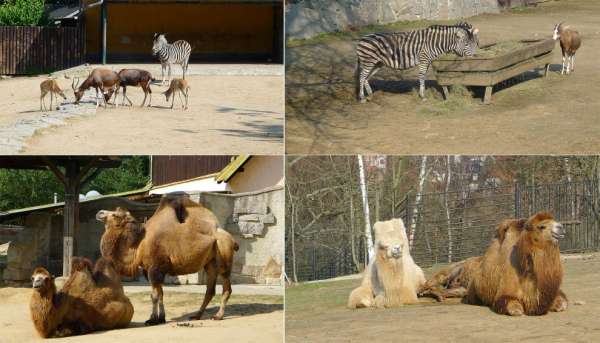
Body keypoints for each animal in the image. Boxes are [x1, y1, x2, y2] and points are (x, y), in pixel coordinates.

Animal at [96, 198, 239, 326]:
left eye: (115, 214)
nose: (99, 212)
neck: (138, 246)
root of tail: (231, 238)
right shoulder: (151, 270)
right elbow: (160, 294)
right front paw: (161, 318)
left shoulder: (155, 268)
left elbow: (154, 295)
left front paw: (152, 319)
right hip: (210, 263)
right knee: (210, 289)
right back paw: (196, 315)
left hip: (224, 253)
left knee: (226, 286)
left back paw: (218, 316)